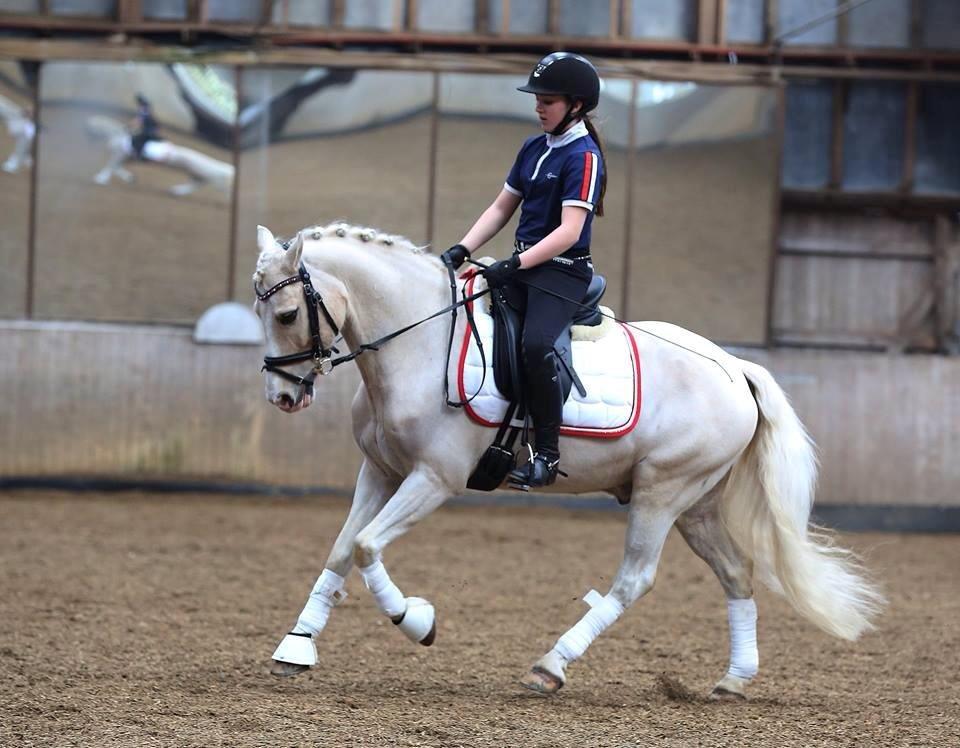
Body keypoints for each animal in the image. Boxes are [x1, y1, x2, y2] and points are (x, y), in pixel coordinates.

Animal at [85, 115, 234, 197]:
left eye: (91, 126)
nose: (83, 129)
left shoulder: (120, 154)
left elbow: (111, 166)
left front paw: (101, 178)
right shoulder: (127, 158)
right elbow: (117, 168)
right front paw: (129, 178)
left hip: (212, 178)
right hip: (198, 175)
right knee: (196, 184)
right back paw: (177, 191)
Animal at [253, 219, 884, 700]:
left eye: (285, 315)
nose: (283, 397)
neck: (419, 343)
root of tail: (734, 368)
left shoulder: (434, 479)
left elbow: (366, 547)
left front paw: (418, 621)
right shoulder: (379, 471)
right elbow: (343, 548)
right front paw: (297, 646)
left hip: (662, 493)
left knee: (633, 580)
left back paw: (550, 665)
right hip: (696, 504)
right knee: (736, 574)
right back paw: (733, 680)